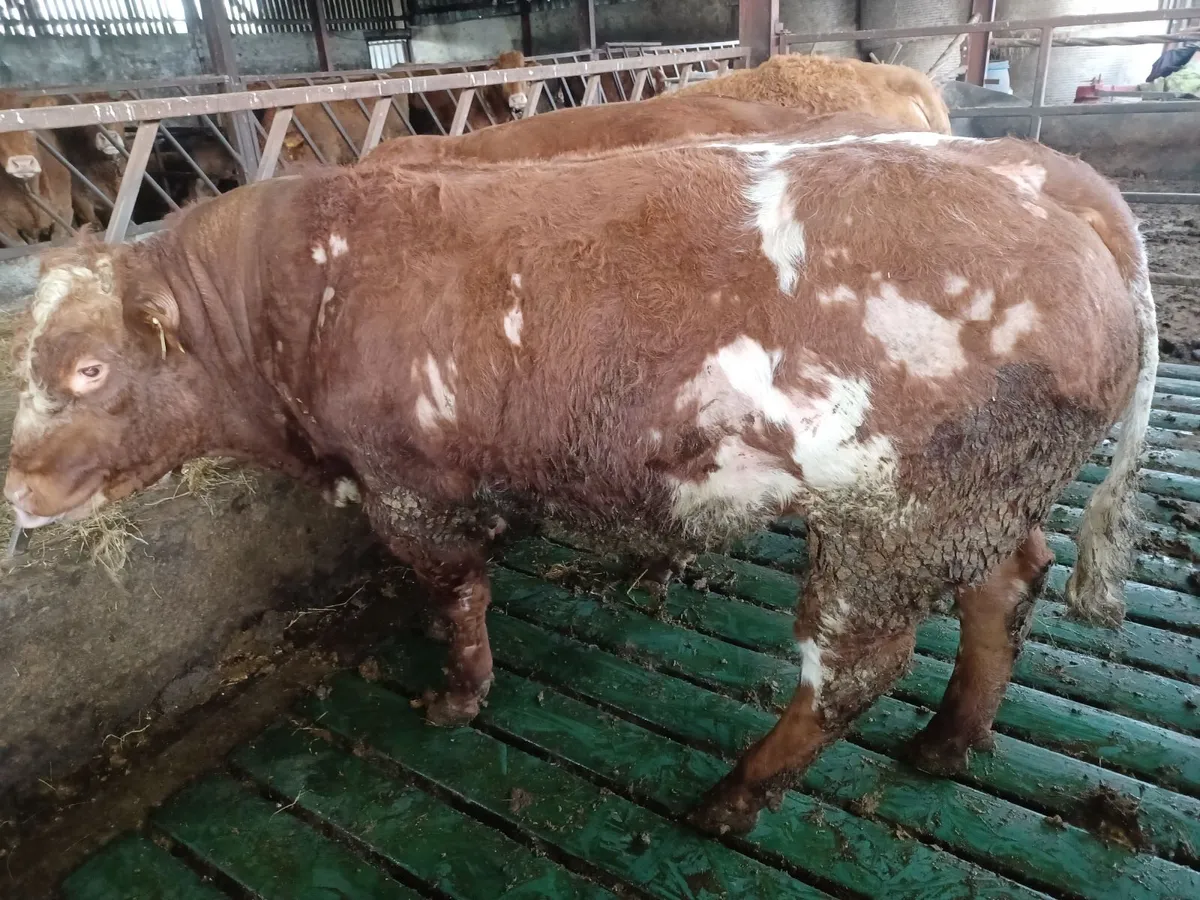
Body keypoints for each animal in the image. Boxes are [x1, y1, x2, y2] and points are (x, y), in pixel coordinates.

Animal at [4, 119, 1155, 840]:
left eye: (90, 369)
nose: (16, 490)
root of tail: (1064, 211)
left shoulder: (409, 489)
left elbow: (457, 595)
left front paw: (458, 693)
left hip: (894, 518)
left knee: (853, 671)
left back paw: (736, 794)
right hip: (981, 501)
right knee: (1006, 585)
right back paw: (949, 739)